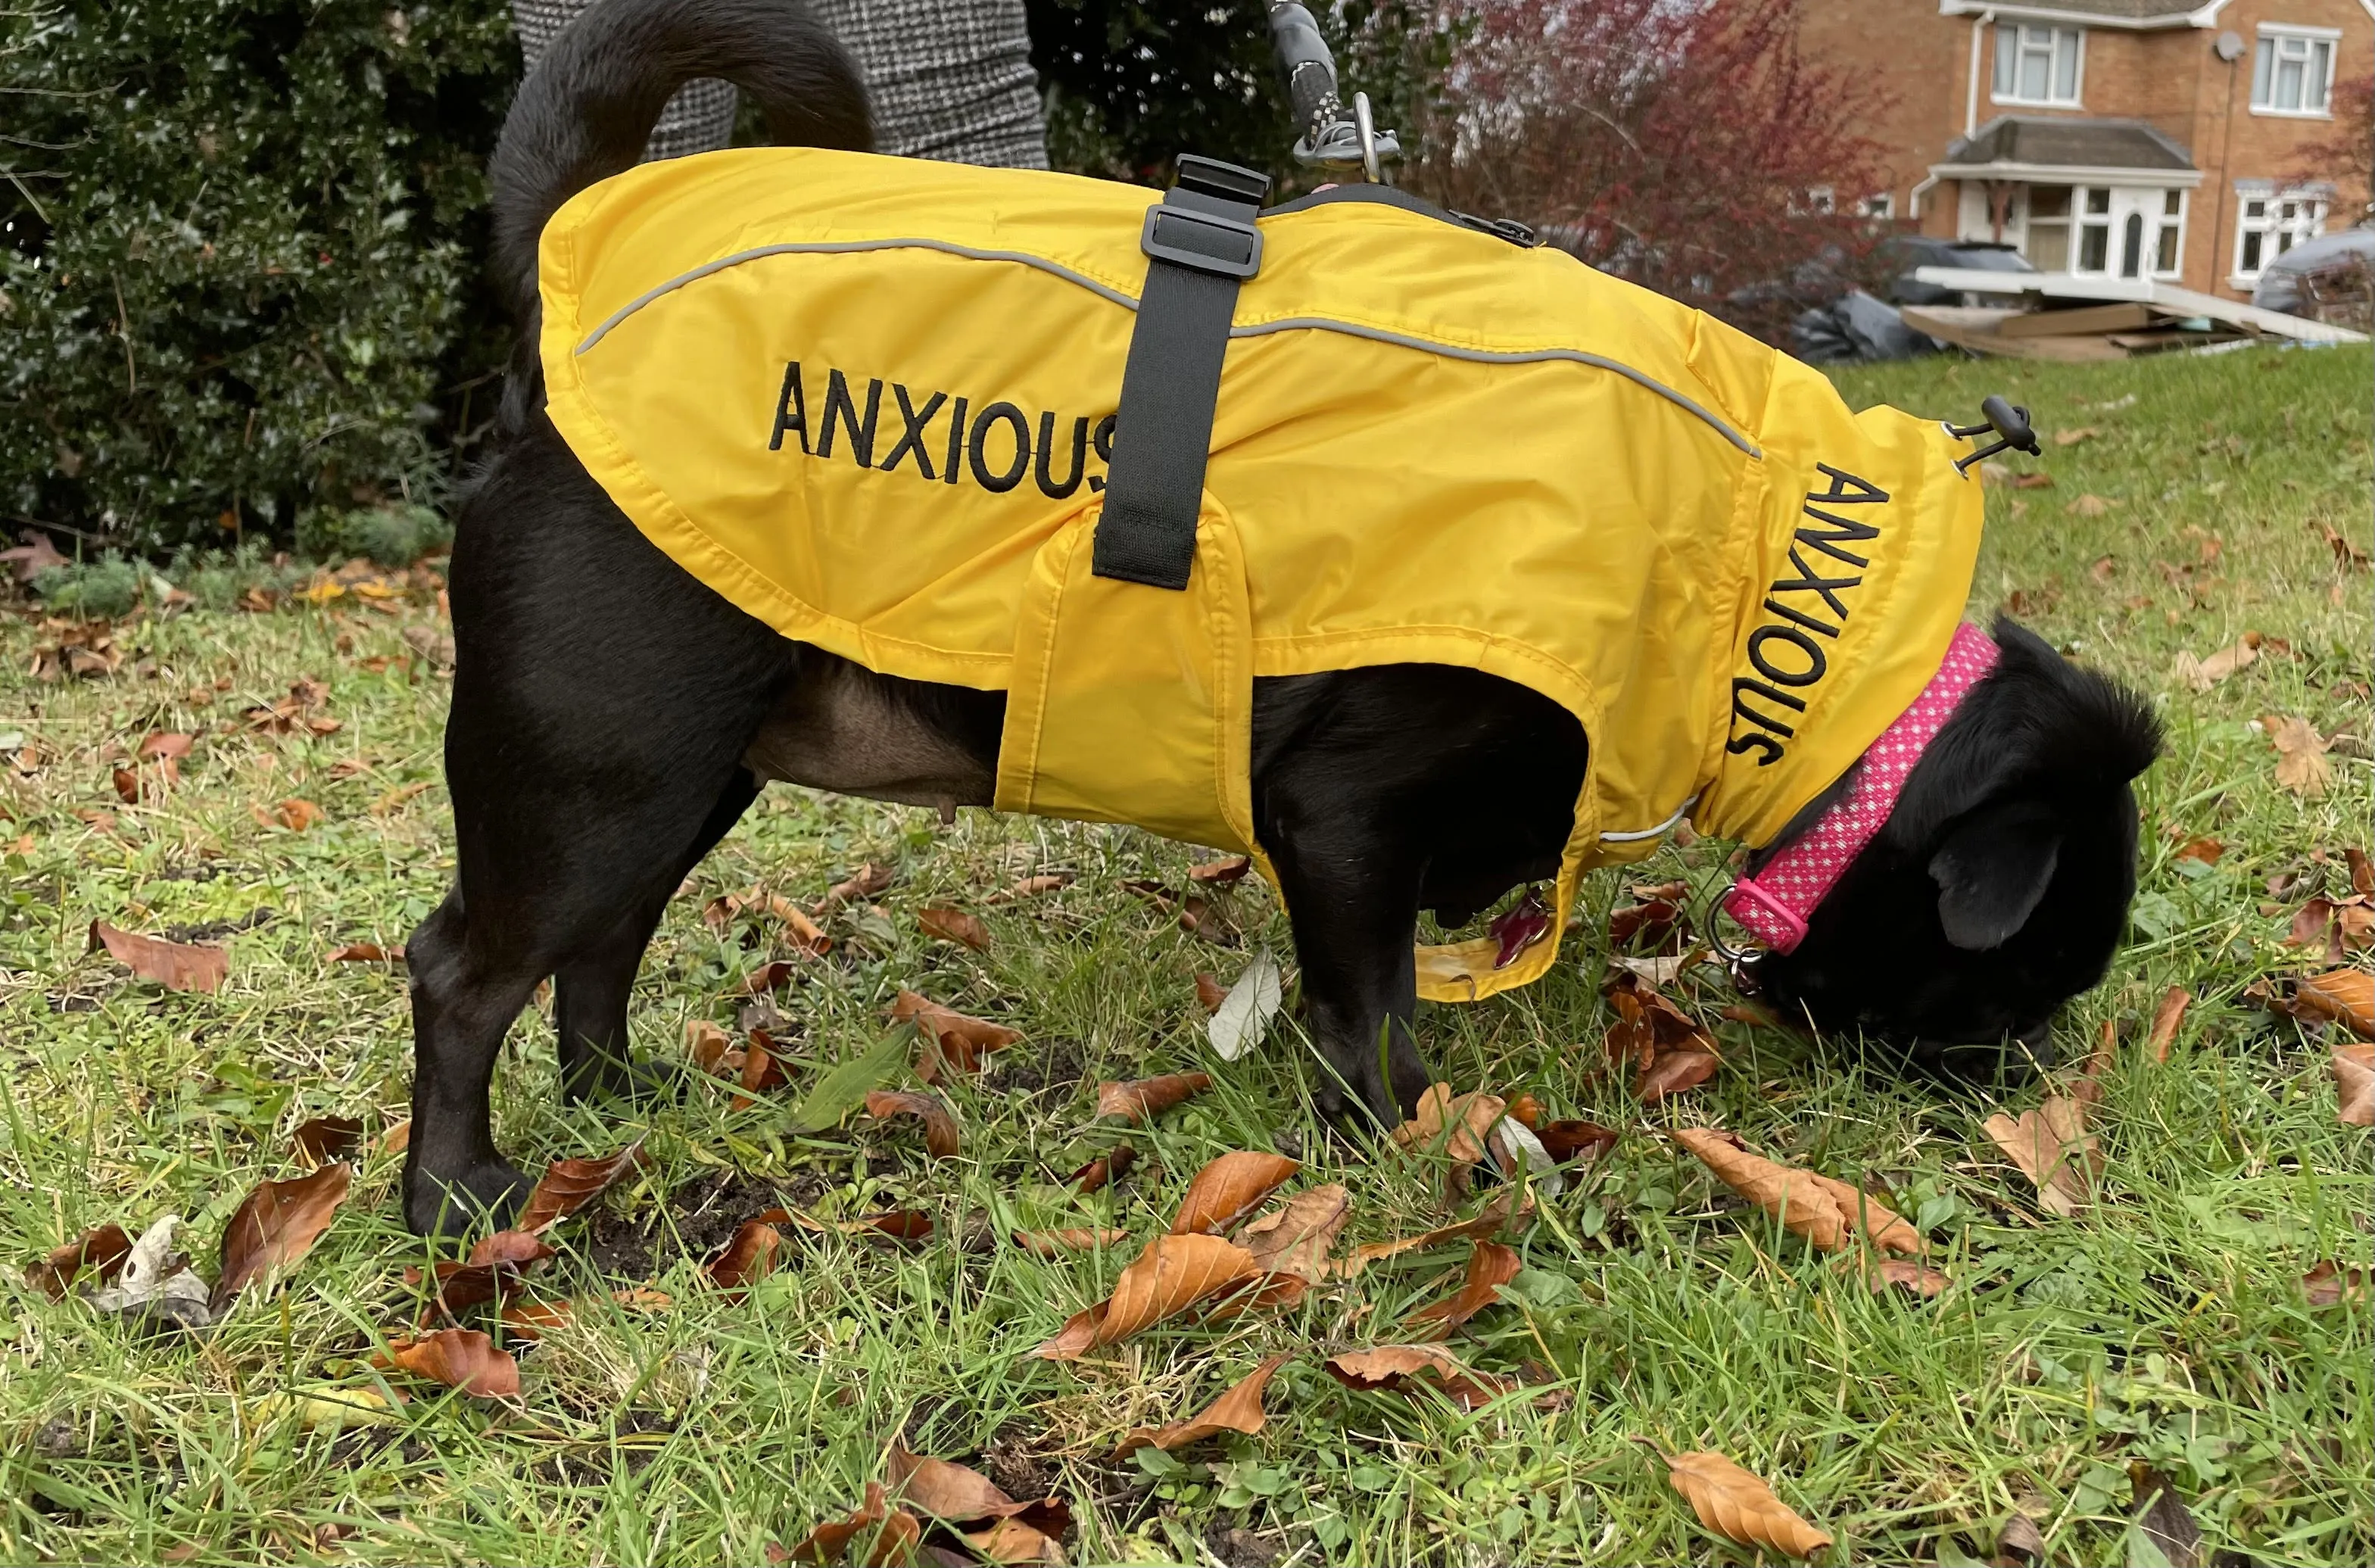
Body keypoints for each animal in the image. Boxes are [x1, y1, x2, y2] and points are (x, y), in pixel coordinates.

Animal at [404, 0, 2156, 1235]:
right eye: (2019, 979)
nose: (2011, 1092)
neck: (1747, 589)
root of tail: (553, 298)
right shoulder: (1344, 819)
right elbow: (1371, 1010)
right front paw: (1411, 1143)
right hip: (600, 774)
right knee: (462, 973)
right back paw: (458, 1202)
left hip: (678, 783)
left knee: (599, 954)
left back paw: (618, 1103)